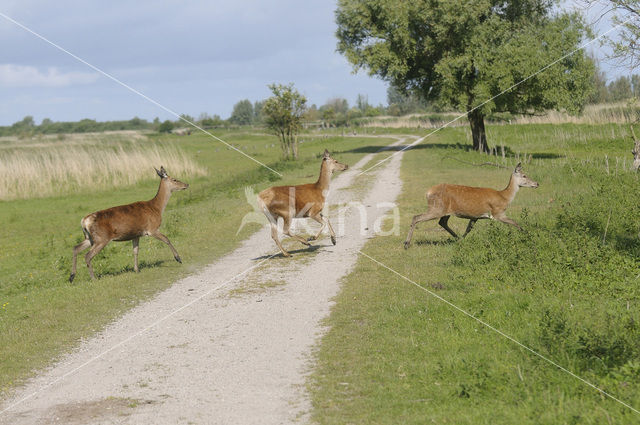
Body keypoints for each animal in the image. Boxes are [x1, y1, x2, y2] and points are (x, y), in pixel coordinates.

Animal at [404, 163, 540, 248]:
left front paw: (463, 240)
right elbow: (516, 224)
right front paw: (528, 236)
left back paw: (457, 238)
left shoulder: (475, 216)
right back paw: (406, 244)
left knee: (442, 222)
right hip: (436, 208)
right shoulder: (498, 213)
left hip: (445, 211)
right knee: (416, 217)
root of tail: (428, 192)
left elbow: (468, 229)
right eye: (524, 175)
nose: (537, 183)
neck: (504, 197)